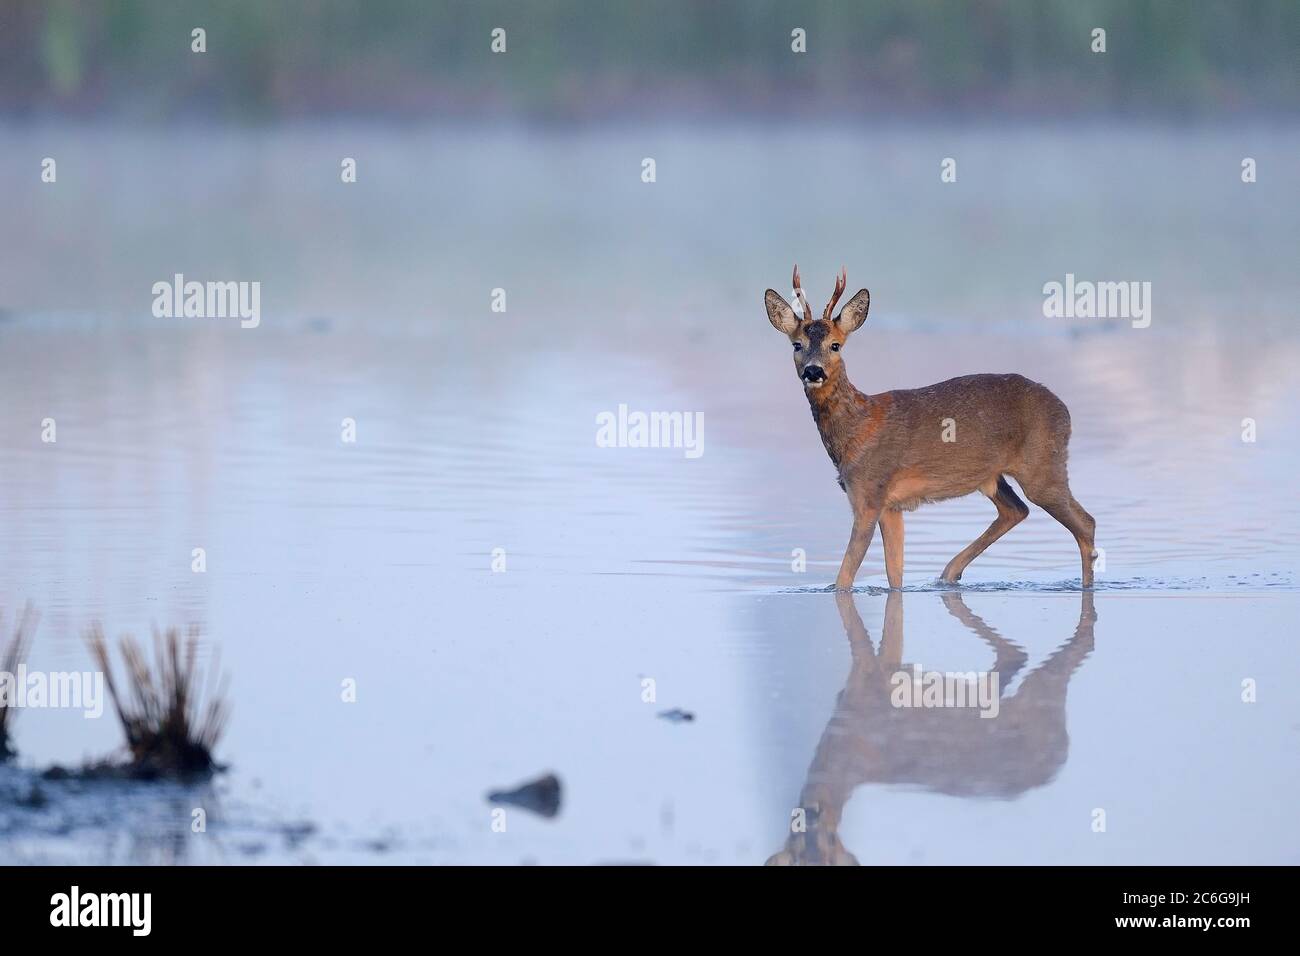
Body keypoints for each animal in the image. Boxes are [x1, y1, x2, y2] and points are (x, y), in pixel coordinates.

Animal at [759, 264, 1097, 590]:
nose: (813, 371)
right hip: (994, 476)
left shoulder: (869, 493)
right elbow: (894, 576)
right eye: (797, 344)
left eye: (835, 345)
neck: (856, 428)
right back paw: (949, 573)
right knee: (1017, 509)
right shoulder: (890, 506)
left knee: (1085, 522)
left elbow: (844, 579)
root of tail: (1064, 410)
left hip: (1042, 465)